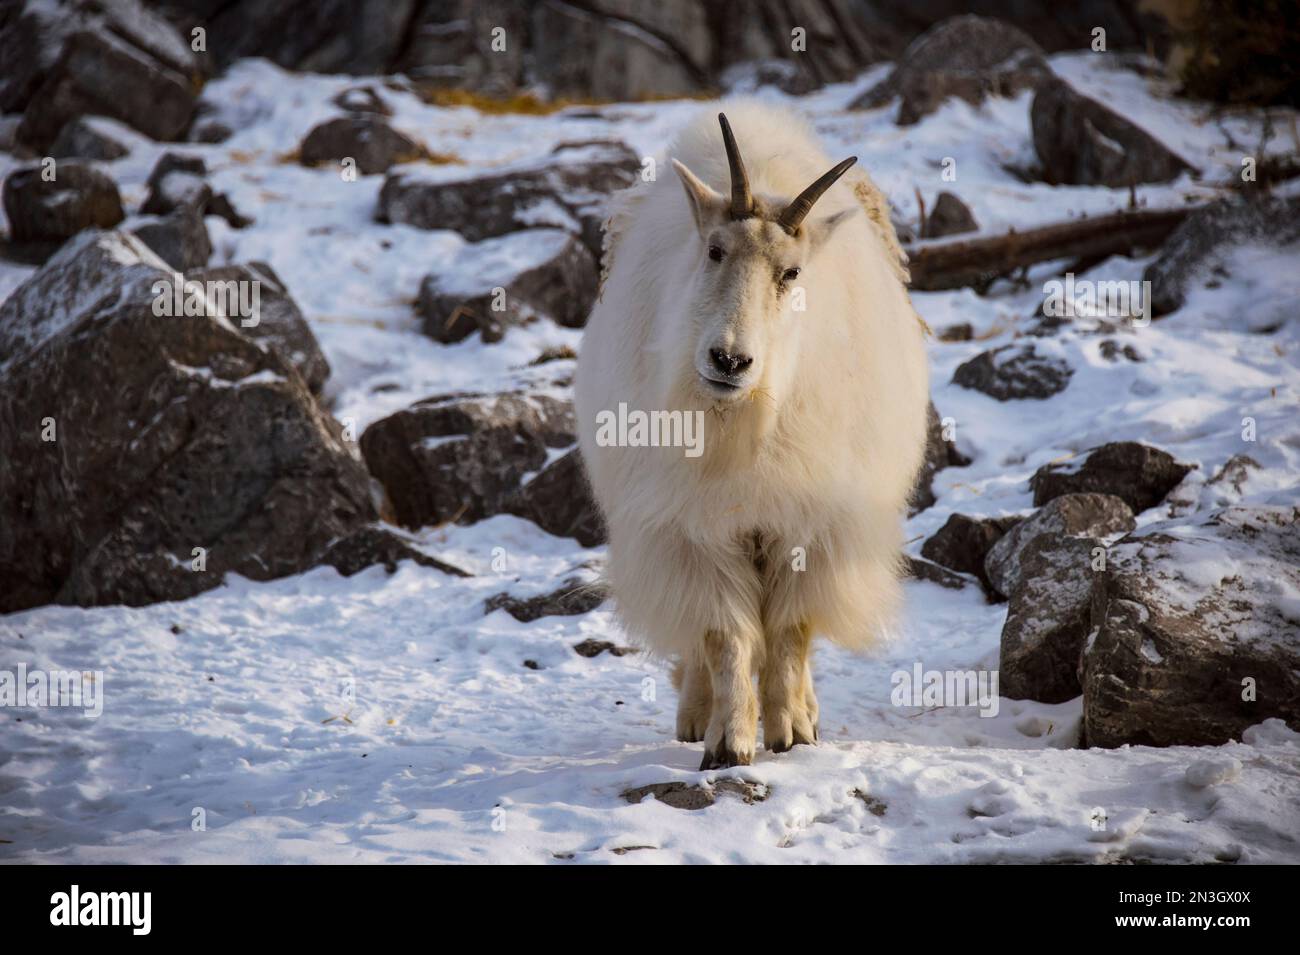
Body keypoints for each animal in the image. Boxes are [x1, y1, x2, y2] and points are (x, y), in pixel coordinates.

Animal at [574, 104, 930, 769]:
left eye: (791, 272)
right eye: (715, 251)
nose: (729, 360)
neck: (741, 424)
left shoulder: (811, 523)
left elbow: (791, 631)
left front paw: (790, 731)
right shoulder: (693, 527)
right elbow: (724, 634)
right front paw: (730, 743)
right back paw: (696, 715)